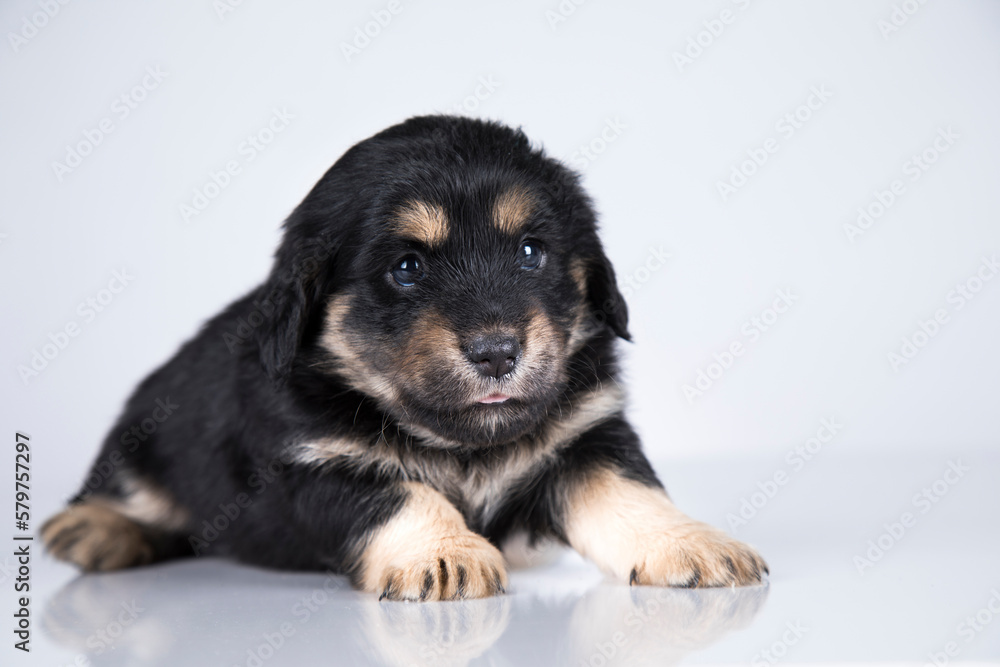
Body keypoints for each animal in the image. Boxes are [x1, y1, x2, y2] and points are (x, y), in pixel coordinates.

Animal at [43, 117, 768, 604]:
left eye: (530, 251)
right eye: (408, 267)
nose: (497, 352)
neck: (462, 443)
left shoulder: (588, 435)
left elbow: (630, 493)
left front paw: (690, 544)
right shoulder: (315, 464)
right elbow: (402, 493)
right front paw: (446, 555)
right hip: (150, 433)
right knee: (131, 492)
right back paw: (91, 528)